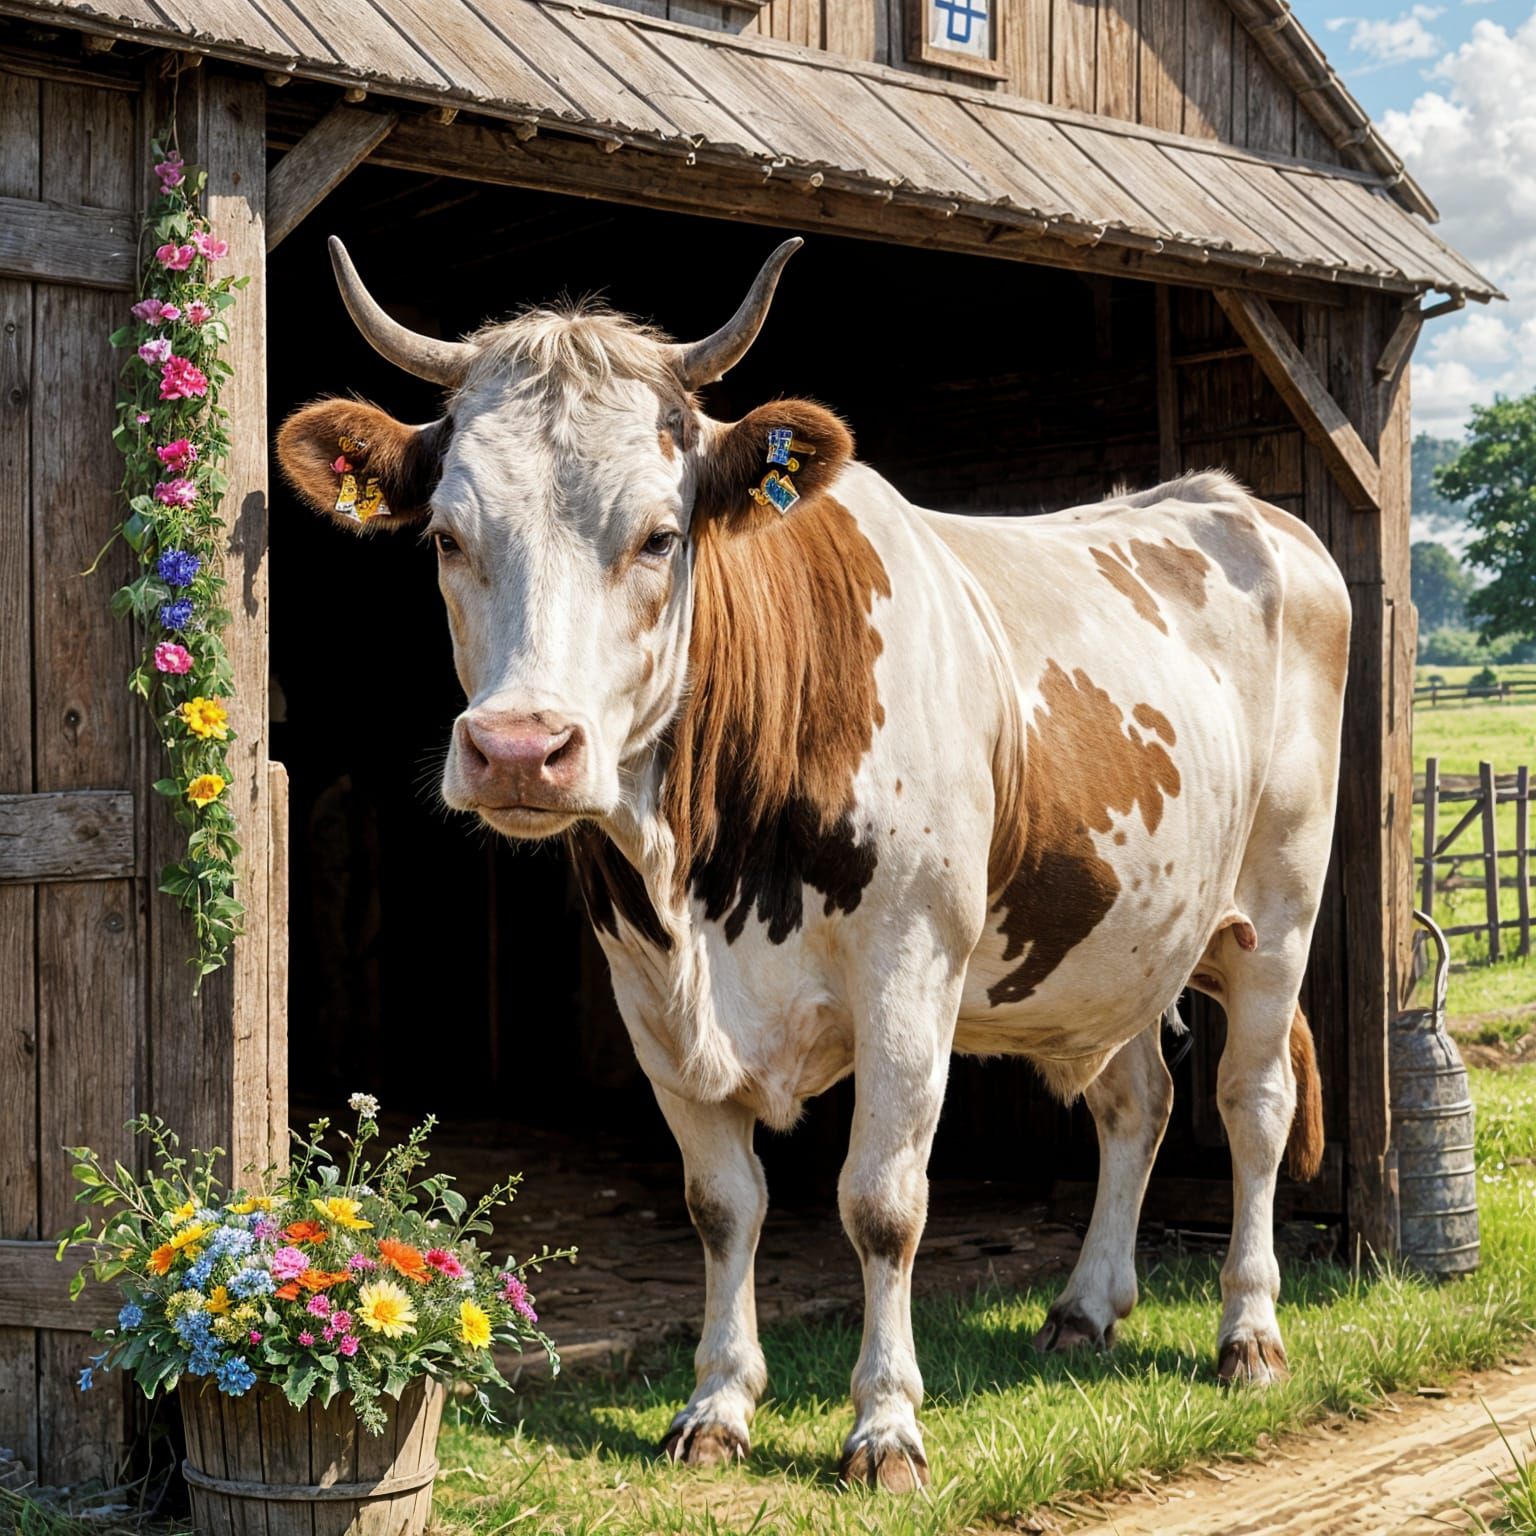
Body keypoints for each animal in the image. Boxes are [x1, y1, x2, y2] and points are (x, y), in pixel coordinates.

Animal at [277, 237, 1345, 1492]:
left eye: (660, 535)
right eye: (447, 538)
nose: (521, 750)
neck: (712, 877)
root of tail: (1231, 499)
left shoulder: (909, 975)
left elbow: (881, 1205)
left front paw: (885, 1425)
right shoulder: (647, 992)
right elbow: (721, 1202)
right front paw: (717, 1403)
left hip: (1279, 912)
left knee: (1253, 1105)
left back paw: (1250, 1333)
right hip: (1114, 943)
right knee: (1138, 1101)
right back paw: (1086, 1308)